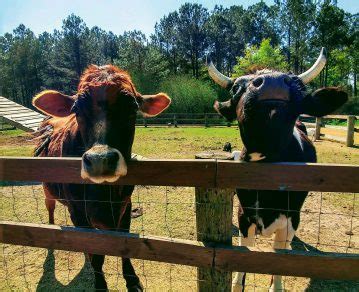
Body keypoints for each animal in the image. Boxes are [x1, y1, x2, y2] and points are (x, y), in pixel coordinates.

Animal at [32, 65, 172, 290]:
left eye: (132, 109)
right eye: (77, 110)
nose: (100, 160)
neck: (105, 194)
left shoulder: (125, 206)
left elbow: (123, 245)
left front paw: (132, 279)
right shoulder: (78, 212)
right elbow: (97, 255)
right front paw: (100, 283)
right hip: (47, 189)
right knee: (50, 207)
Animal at [208, 49, 348, 290]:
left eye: (298, 88)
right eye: (236, 88)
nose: (272, 82)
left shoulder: (291, 219)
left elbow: (279, 259)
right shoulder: (244, 216)